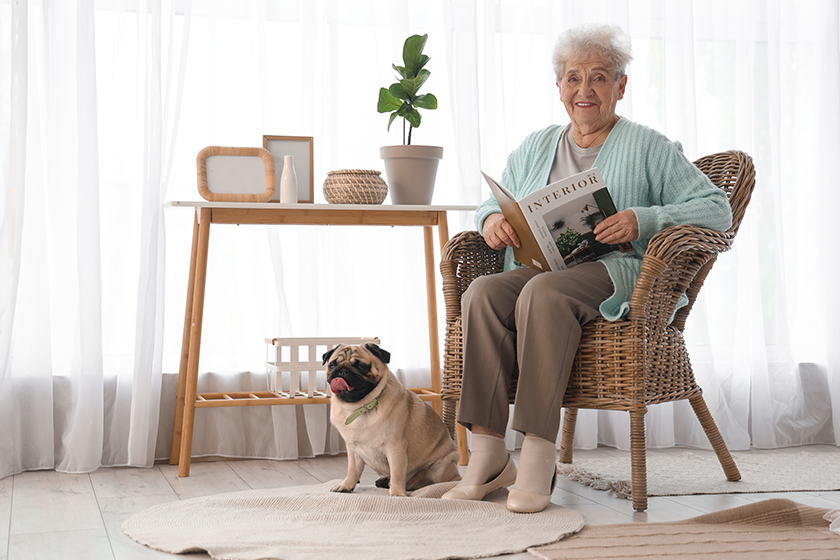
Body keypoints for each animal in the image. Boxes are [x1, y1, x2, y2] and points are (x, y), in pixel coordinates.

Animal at [324, 344, 466, 496]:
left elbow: (397, 472)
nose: (342, 370)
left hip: (440, 468)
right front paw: (346, 485)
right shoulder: (353, 450)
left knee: (435, 481)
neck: (359, 407)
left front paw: (397, 493)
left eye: (362, 367)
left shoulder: (395, 447)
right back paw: (385, 481)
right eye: (332, 365)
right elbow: (352, 470)